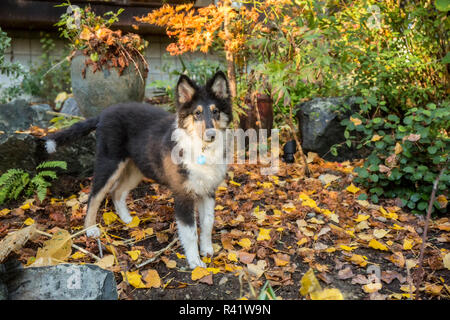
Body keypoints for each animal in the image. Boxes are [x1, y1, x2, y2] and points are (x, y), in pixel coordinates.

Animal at [45, 72, 232, 268]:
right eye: (197, 113)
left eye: (216, 112)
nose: (211, 135)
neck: (201, 147)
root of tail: (104, 113)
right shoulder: (183, 194)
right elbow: (190, 232)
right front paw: (196, 262)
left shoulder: (208, 190)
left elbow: (208, 222)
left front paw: (207, 250)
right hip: (109, 162)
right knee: (94, 196)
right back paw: (90, 230)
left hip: (136, 168)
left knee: (117, 192)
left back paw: (126, 219)